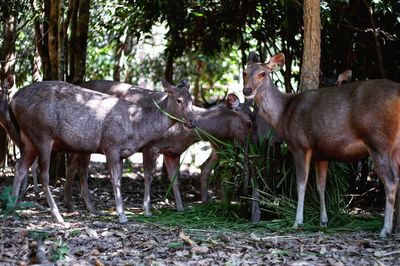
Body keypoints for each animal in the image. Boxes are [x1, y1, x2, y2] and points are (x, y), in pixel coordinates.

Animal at [6, 79, 194, 224]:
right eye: (179, 100)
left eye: (192, 100)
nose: (192, 122)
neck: (137, 126)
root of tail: (13, 101)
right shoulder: (111, 145)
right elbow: (116, 181)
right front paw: (122, 216)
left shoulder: (121, 152)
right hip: (42, 132)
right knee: (43, 173)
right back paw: (57, 215)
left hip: (28, 138)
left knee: (20, 167)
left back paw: (12, 207)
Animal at [64, 80, 255, 216]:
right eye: (248, 123)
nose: (253, 145)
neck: (182, 135)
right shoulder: (151, 145)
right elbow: (149, 177)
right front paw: (147, 210)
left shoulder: (173, 152)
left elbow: (175, 180)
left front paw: (181, 208)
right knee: (76, 166)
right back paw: (76, 205)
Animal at [242, 51, 400, 237]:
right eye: (245, 72)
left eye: (263, 74)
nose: (247, 90)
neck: (283, 114)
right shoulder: (321, 153)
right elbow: (321, 187)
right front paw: (323, 221)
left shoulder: (300, 145)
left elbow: (301, 185)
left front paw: (297, 222)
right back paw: (395, 227)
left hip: (378, 140)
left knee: (390, 180)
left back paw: (385, 229)